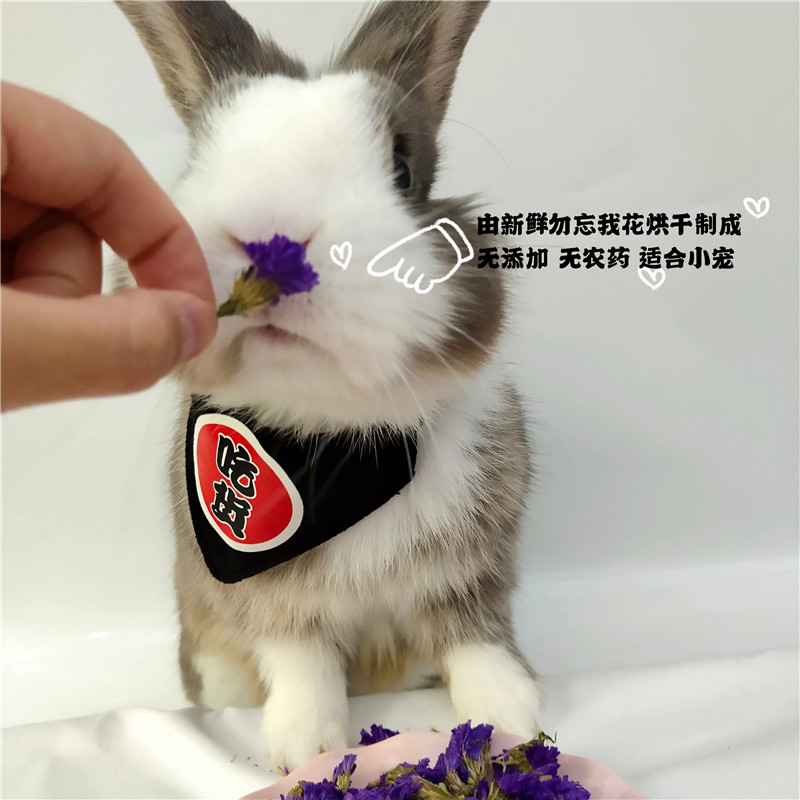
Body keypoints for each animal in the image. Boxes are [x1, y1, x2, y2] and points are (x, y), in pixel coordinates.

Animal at [116, 0, 543, 769]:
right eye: (197, 163)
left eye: (402, 169)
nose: (267, 239)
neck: (330, 442)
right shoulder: (268, 599)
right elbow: (301, 657)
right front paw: (304, 747)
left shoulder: (473, 567)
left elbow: (475, 633)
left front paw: (512, 718)